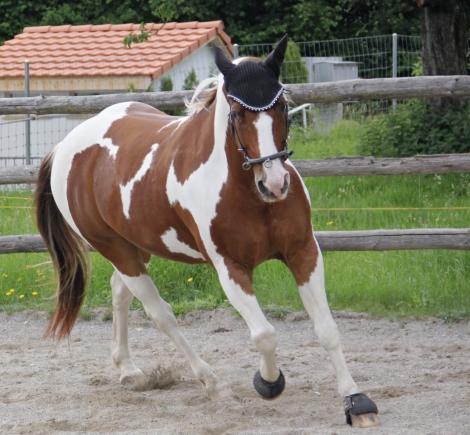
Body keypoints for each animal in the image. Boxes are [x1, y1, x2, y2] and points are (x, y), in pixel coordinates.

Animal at [34, 35, 378, 430]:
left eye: (281, 105)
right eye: (238, 113)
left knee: (120, 292)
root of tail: (65, 147)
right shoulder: (230, 268)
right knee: (160, 314)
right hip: (112, 247)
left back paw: (129, 371)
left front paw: (356, 401)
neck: (249, 195)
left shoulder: (303, 253)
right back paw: (213, 384)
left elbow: (327, 330)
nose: (275, 184)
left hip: (135, 245)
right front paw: (268, 382)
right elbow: (265, 334)